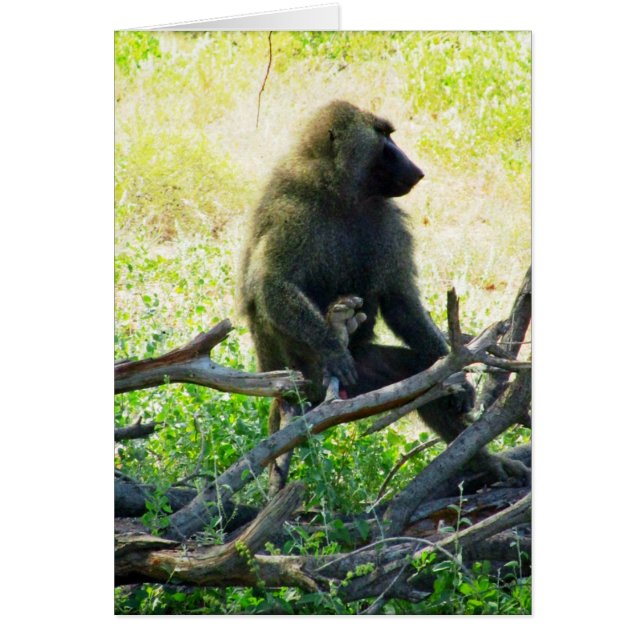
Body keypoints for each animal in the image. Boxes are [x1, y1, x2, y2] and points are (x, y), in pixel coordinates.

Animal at [239, 100, 526, 489]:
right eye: (383, 136)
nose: (416, 170)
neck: (339, 190)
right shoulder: (291, 212)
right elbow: (270, 283)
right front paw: (331, 347)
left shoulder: (386, 219)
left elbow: (399, 301)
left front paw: (457, 377)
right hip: (292, 373)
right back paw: (333, 331)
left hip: (366, 374)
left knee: (418, 375)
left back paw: (483, 462)